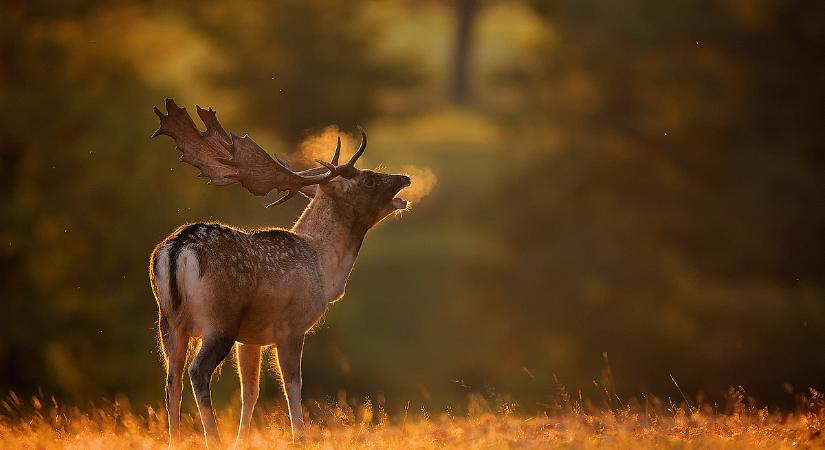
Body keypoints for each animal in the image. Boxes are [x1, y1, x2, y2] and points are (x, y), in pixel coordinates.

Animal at [148, 98, 412, 446]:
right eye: (368, 179)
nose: (406, 178)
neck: (324, 268)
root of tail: (178, 247)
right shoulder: (291, 326)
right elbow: (293, 385)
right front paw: (300, 437)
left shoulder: (251, 339)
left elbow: (250, 391)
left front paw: (243, 440)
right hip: (219, 320)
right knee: (197, 371)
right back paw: (212, 438)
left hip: (168, 321)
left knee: (171, 378)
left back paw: (175, 440)